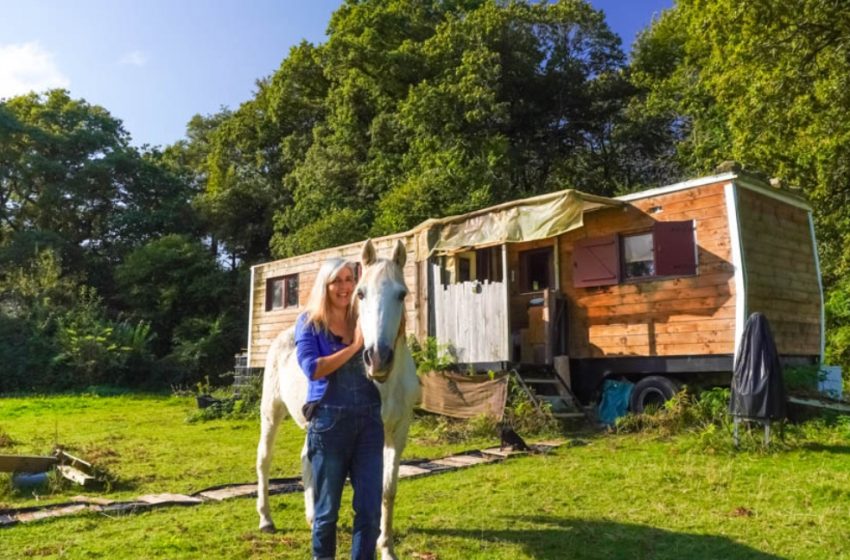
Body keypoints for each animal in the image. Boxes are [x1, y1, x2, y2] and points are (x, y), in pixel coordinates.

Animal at [255, 238, 420, 556]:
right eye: (361, 293)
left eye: (401, 294)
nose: (378, 358)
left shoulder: (397, 433)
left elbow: (387, 490)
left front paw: (386, 547)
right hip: (271, 412)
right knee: (264, 459)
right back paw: (266, 519)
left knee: (306, 460)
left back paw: (310, 517)